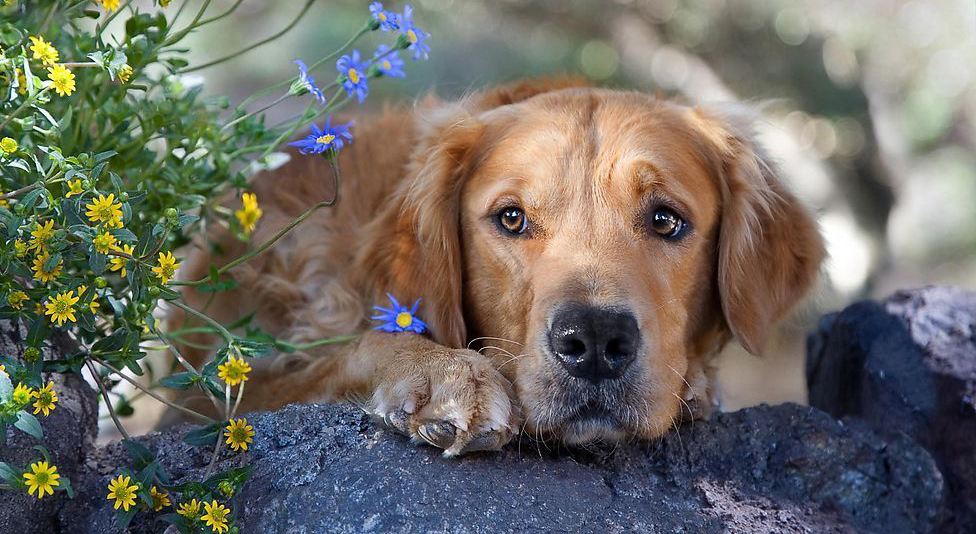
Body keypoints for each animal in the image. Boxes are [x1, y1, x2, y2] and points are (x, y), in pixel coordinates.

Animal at [173, 77, 824, 458]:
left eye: (666, 220)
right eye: (511, 218)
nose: (593, 341)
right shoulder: (217, 397)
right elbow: (351, 349)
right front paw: (442, 374)